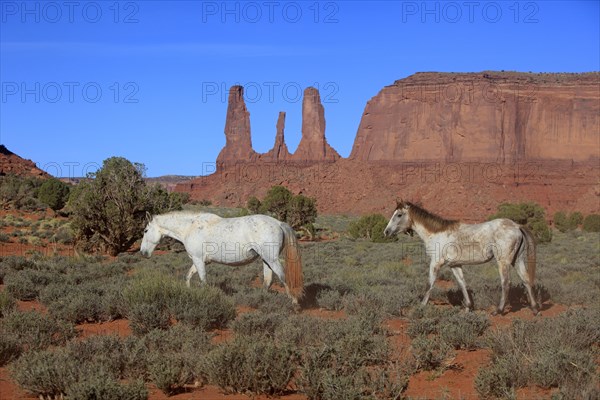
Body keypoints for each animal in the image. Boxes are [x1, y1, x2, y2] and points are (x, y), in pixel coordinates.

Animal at [138, 212, 302, 304]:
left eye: (145, 230)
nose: (143, 252)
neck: (190, 228)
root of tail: (278, 223)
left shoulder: (198, 260)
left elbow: (203, 280)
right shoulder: (198, 261)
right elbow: (188, 276)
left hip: (272, 260)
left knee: (283, 277)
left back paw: (294, 303)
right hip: (266, 260)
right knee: (268, 280)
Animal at [384, 200, 540, 316]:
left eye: (399, 215)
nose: (386, 232)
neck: (436, 234)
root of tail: (517, 226)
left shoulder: (435, 263)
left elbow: (430, 284)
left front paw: (421, 306)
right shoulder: (455, 265)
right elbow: (462, 284)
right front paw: (468, 307)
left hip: (503, 262)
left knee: (506, 283)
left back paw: (498, 310)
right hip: (517, 260)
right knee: (526, 280)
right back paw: (534, 309)